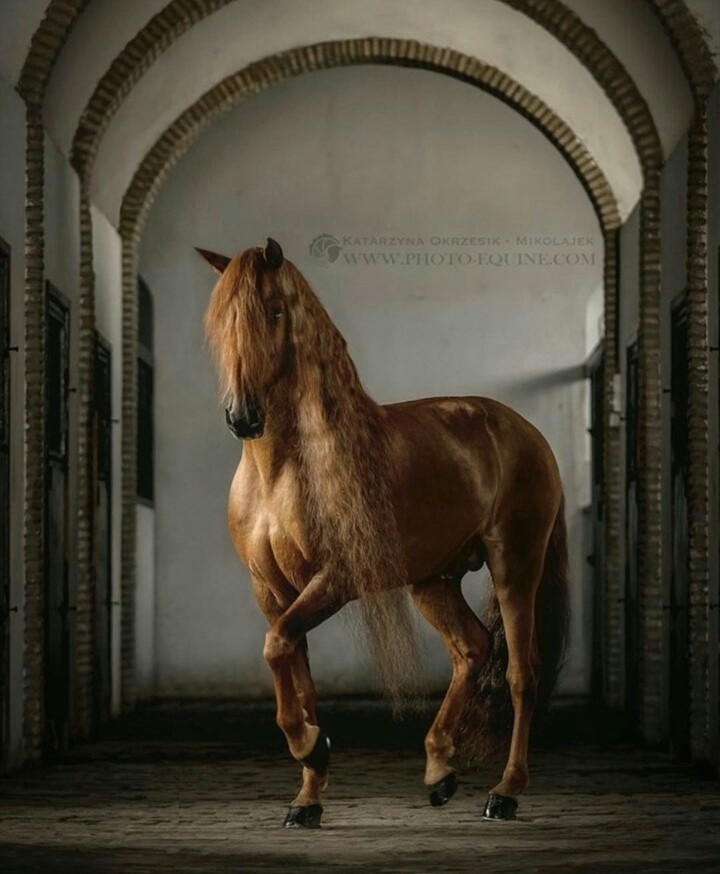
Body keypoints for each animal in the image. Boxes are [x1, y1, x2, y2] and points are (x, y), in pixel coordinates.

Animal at [198, 238, 569, 828]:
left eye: (274, 312)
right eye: (223, 322)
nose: (243, 417)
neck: (281, 471)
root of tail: (527, 433)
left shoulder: (335, 580)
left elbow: (276, 647)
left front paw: (311, 747)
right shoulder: (272, 591)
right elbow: (295, 674)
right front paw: (308, 793)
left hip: (516, 567)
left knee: (520, 673)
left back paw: (505, 792)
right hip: (432, 581)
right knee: (471, 648)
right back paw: (439, 772)